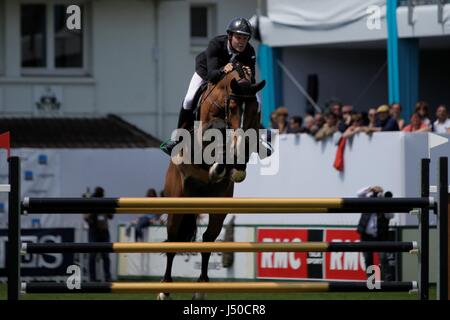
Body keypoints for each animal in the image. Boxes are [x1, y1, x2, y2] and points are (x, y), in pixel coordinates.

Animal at [158, 63, 266, 300]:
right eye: (233, 107)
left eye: (254, 108)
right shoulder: (204, 134)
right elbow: (218, 137)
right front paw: (219, 166)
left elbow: (245, 145)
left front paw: (234, 168)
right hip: (177, 202)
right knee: (172, 239)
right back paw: (164, 290)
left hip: (218, 207)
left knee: (208, 239)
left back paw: (200, 289)